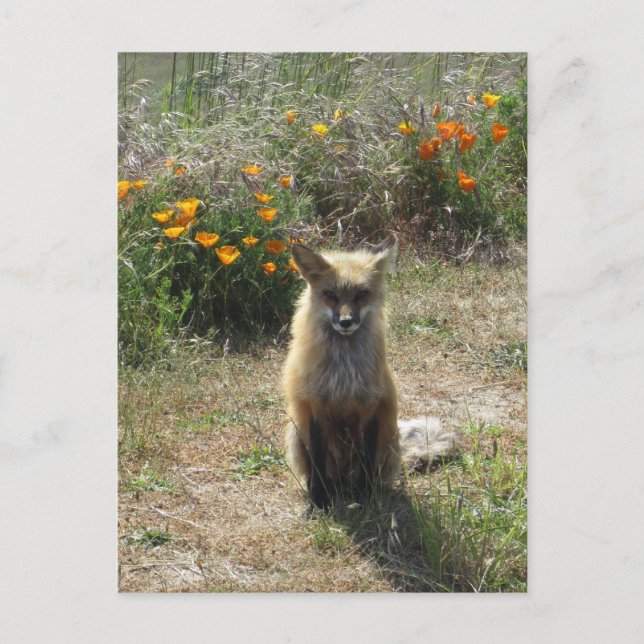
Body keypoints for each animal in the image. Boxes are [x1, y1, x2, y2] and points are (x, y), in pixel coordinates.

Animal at [283, 233, 459, 510]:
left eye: (361, 294)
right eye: (330, 295)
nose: (345, 322)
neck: (343, 372)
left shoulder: (371, 407)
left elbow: (366, 463)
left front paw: (365, 498)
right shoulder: (316, 406)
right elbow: (318, 466)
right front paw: (319, 502)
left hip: (387, 441)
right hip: (295, 433)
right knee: (319, 472)